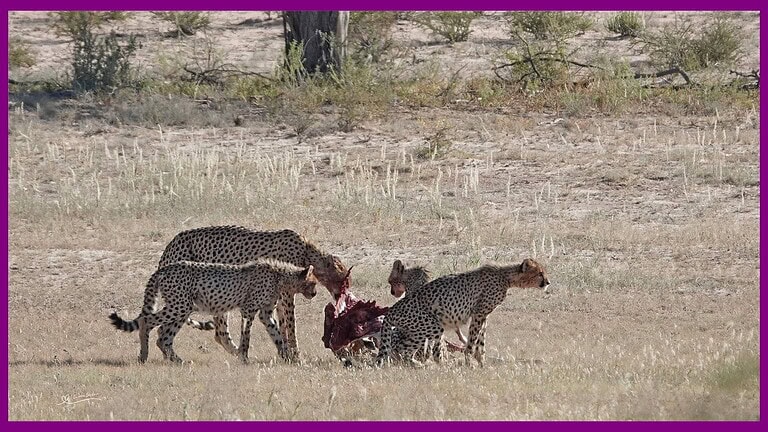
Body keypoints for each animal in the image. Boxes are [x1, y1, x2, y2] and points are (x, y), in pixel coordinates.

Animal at [109, 259, 317, 364]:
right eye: (313, 283)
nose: (315, 293)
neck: (280, 274)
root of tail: (164, 268)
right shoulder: (248, 310)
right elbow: (246, 336)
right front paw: (244, 357)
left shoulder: (265, 313)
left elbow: (277, 336)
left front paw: (288, 357)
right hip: (179, 305)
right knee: (147, 321)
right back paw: (144, 356)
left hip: (183, 308)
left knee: (163, 336)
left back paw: (177, 361)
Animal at [156, 225, 349, 361]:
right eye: (343, 280)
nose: (344, 294)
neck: (307, 250)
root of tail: (172, 243)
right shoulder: (286, 295)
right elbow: (291, 324)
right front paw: (296, 354)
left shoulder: (277, 297)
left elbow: (281, 326)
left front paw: (286, 353)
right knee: (218, 333)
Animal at [376, 258, 550, 367]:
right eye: (540, 273)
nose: (548, 282)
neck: (506, 277)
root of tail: (391, 310)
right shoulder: (479, 313)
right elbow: (472, 342)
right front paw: (469, 364)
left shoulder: (483, 316)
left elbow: (481, 341)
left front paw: (481, 363)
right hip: (432, 326)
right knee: (402, 351)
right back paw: (426, 366)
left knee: (401, 351)